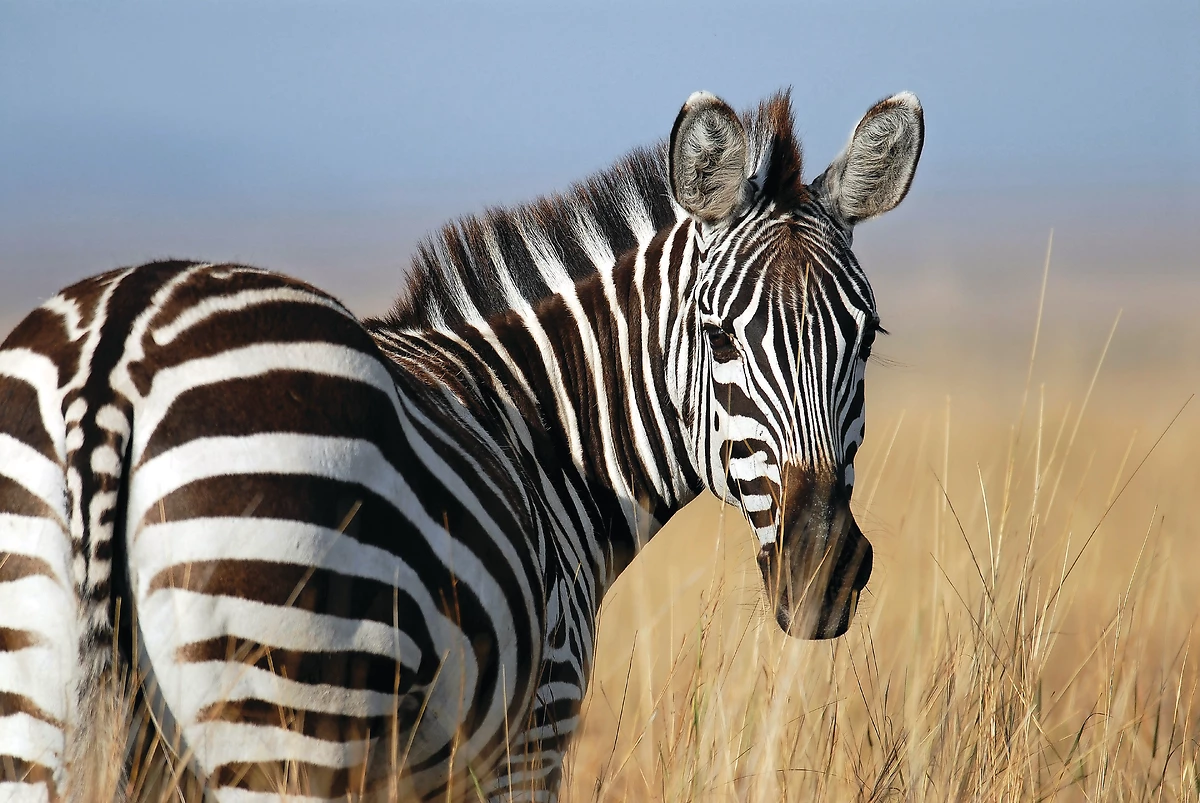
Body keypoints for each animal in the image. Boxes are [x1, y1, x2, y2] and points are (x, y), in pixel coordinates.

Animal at [0, 88, 923, 801]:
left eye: (865, 337)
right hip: (283, 710)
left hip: (40, 709)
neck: (548, 435)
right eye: (719, 336)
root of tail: (115, 349)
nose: (822, 569)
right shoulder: (532, 729)